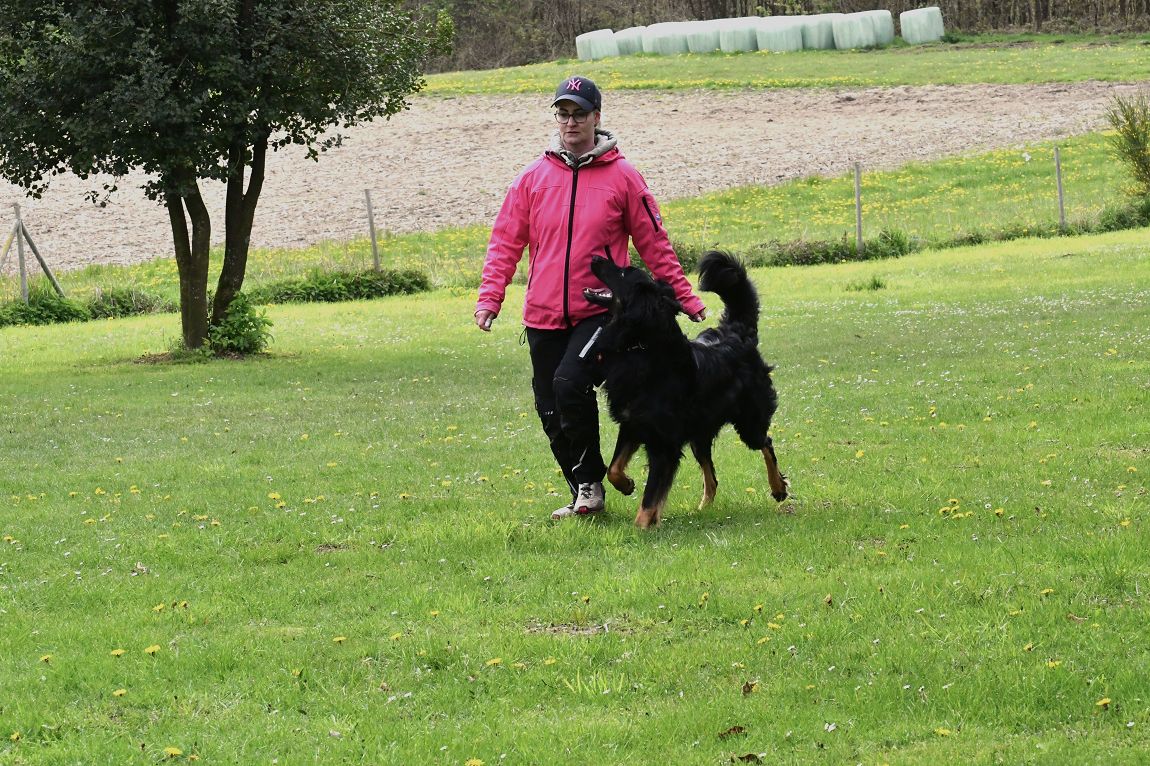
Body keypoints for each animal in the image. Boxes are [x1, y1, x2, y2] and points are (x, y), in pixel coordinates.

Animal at [588, 250, 786, 524]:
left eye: (624, 272)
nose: (595, 257)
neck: (641, 347)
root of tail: (737, 333)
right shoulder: (632, 424)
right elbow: (613, 469)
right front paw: (627, 485)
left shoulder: (663, 444)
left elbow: (649, 500)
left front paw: (644, 525)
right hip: (699, 433)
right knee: (712, 477)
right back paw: (702, 509)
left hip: (749, 423)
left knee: (766, 443)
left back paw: (778, 488)